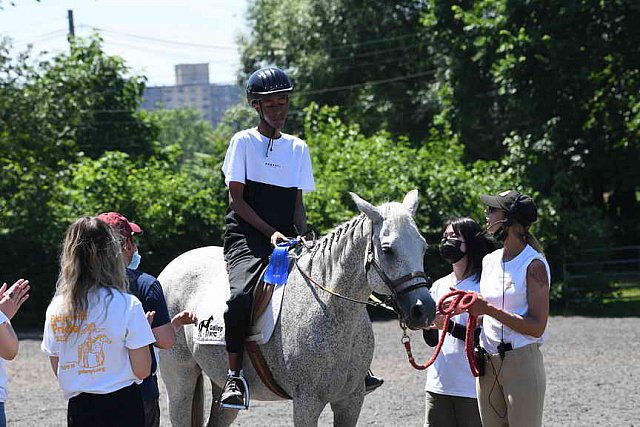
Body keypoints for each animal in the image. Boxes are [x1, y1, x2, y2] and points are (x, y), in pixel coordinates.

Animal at [158, 192, 438, 426]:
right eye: (388, 250)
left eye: (424, 247)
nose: (423, 310)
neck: (329, 308)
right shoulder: (307, 403)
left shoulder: (351, 400)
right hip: (180, 379)